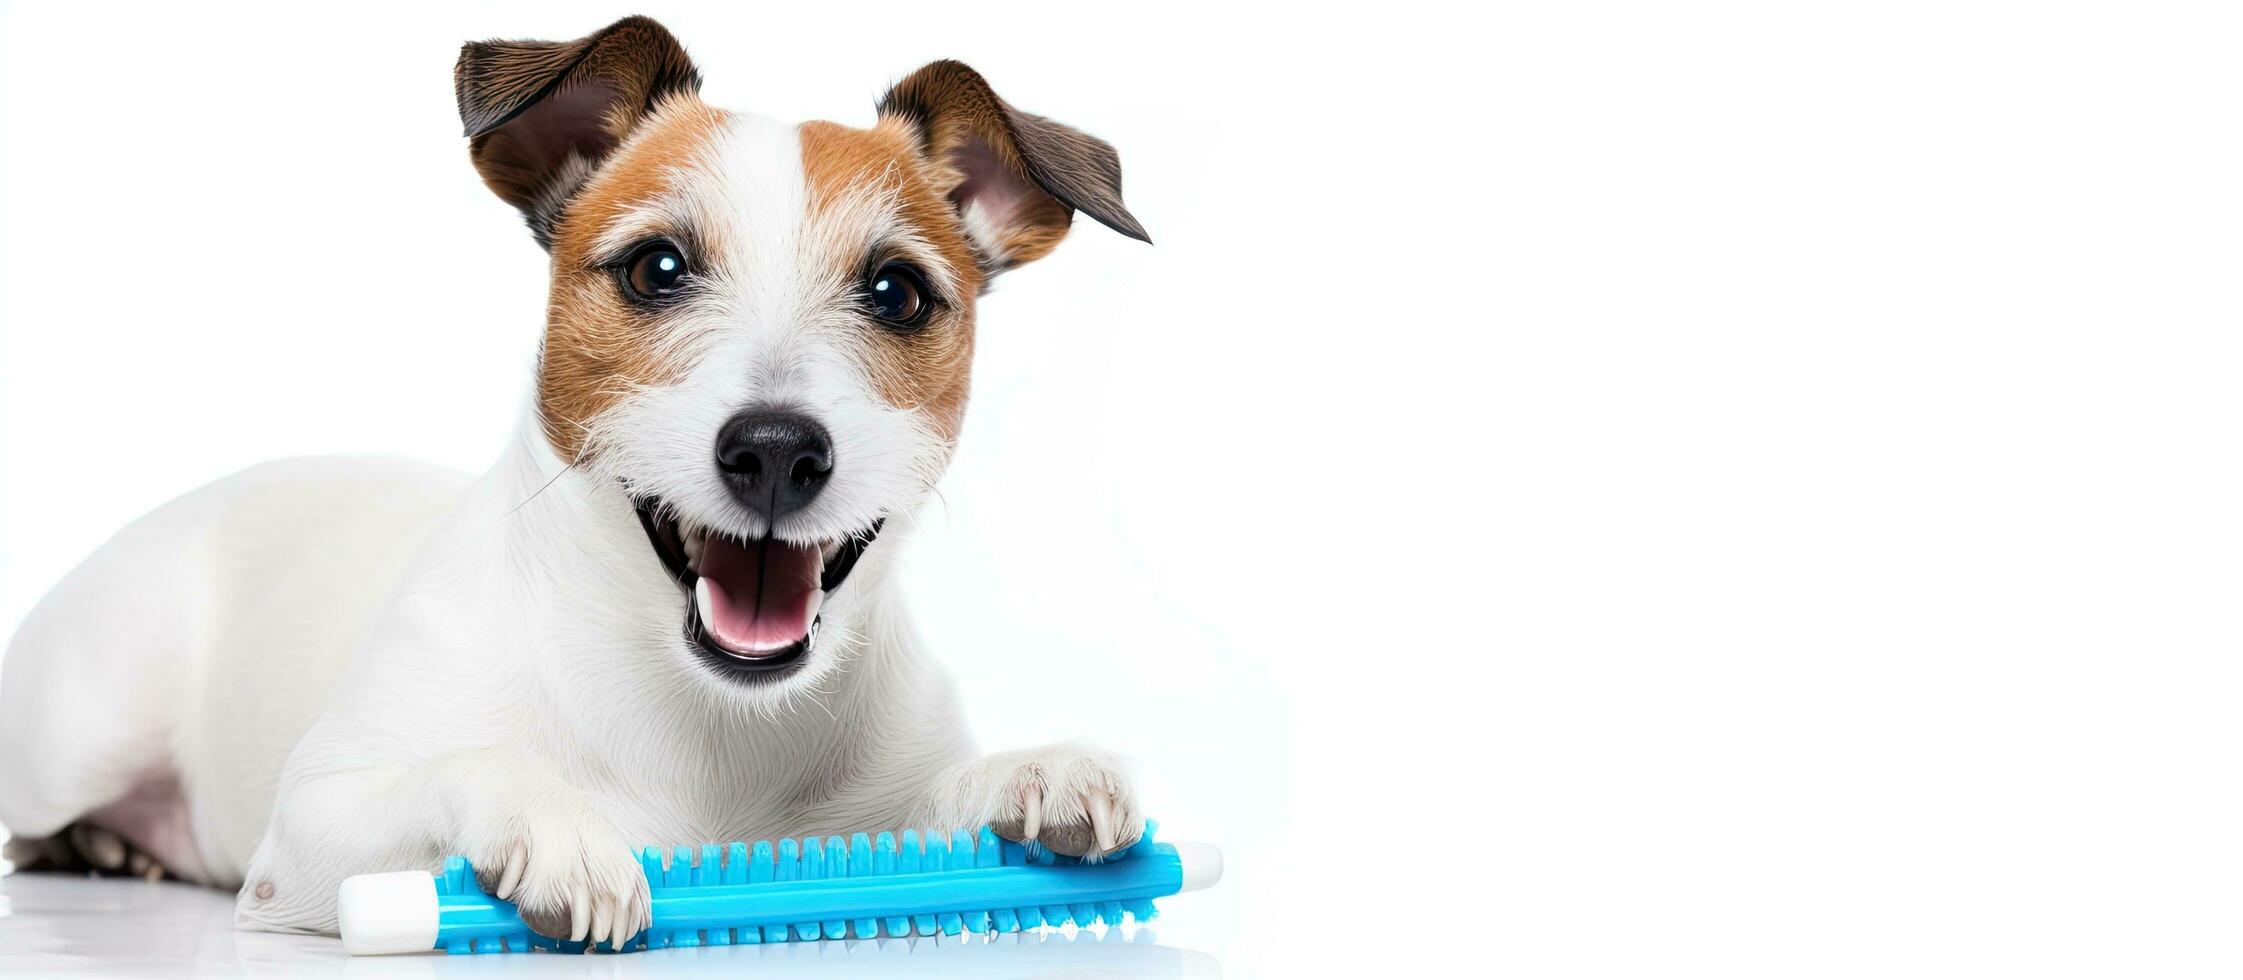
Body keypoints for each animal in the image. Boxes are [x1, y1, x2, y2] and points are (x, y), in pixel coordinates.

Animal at [0, 11, 1148, 937]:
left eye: (897, 292)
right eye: (656, 268)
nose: (777, 451)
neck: (705, 716)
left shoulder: (868, 819)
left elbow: (931, 812)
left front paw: (1029, 770)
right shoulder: (307, 835)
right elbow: (465, 767)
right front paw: (555, 823)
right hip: (80, 735)